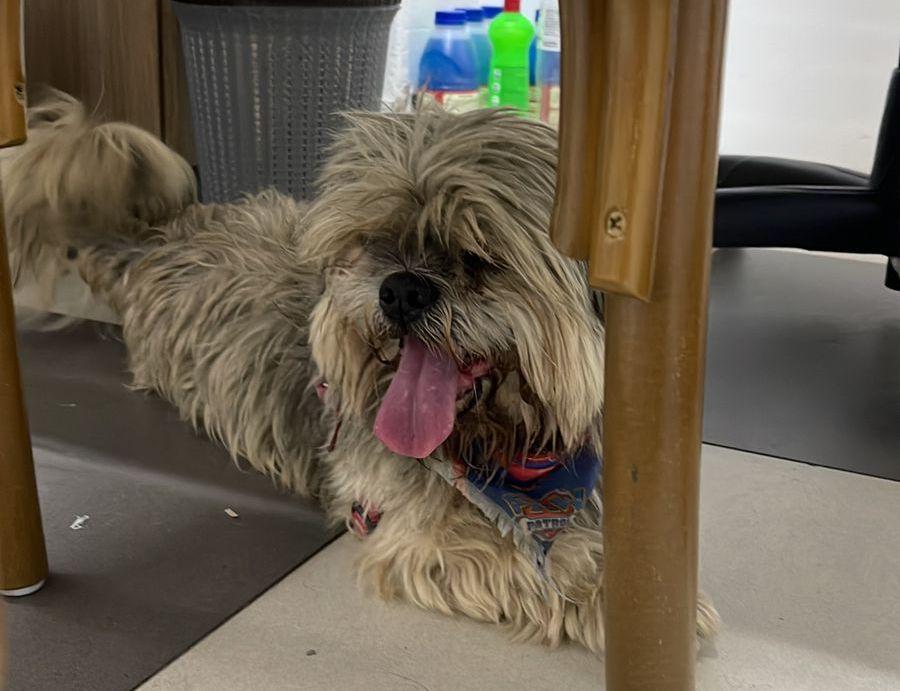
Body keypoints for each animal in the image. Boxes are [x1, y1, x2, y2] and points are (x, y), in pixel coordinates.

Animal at [1, 92, 716, 656]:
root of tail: (156, 243)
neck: (499, 450)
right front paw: (596, 589)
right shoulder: (414, 538)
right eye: (373, 241)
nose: (400, 289)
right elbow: (515, 560)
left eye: (477, 255)